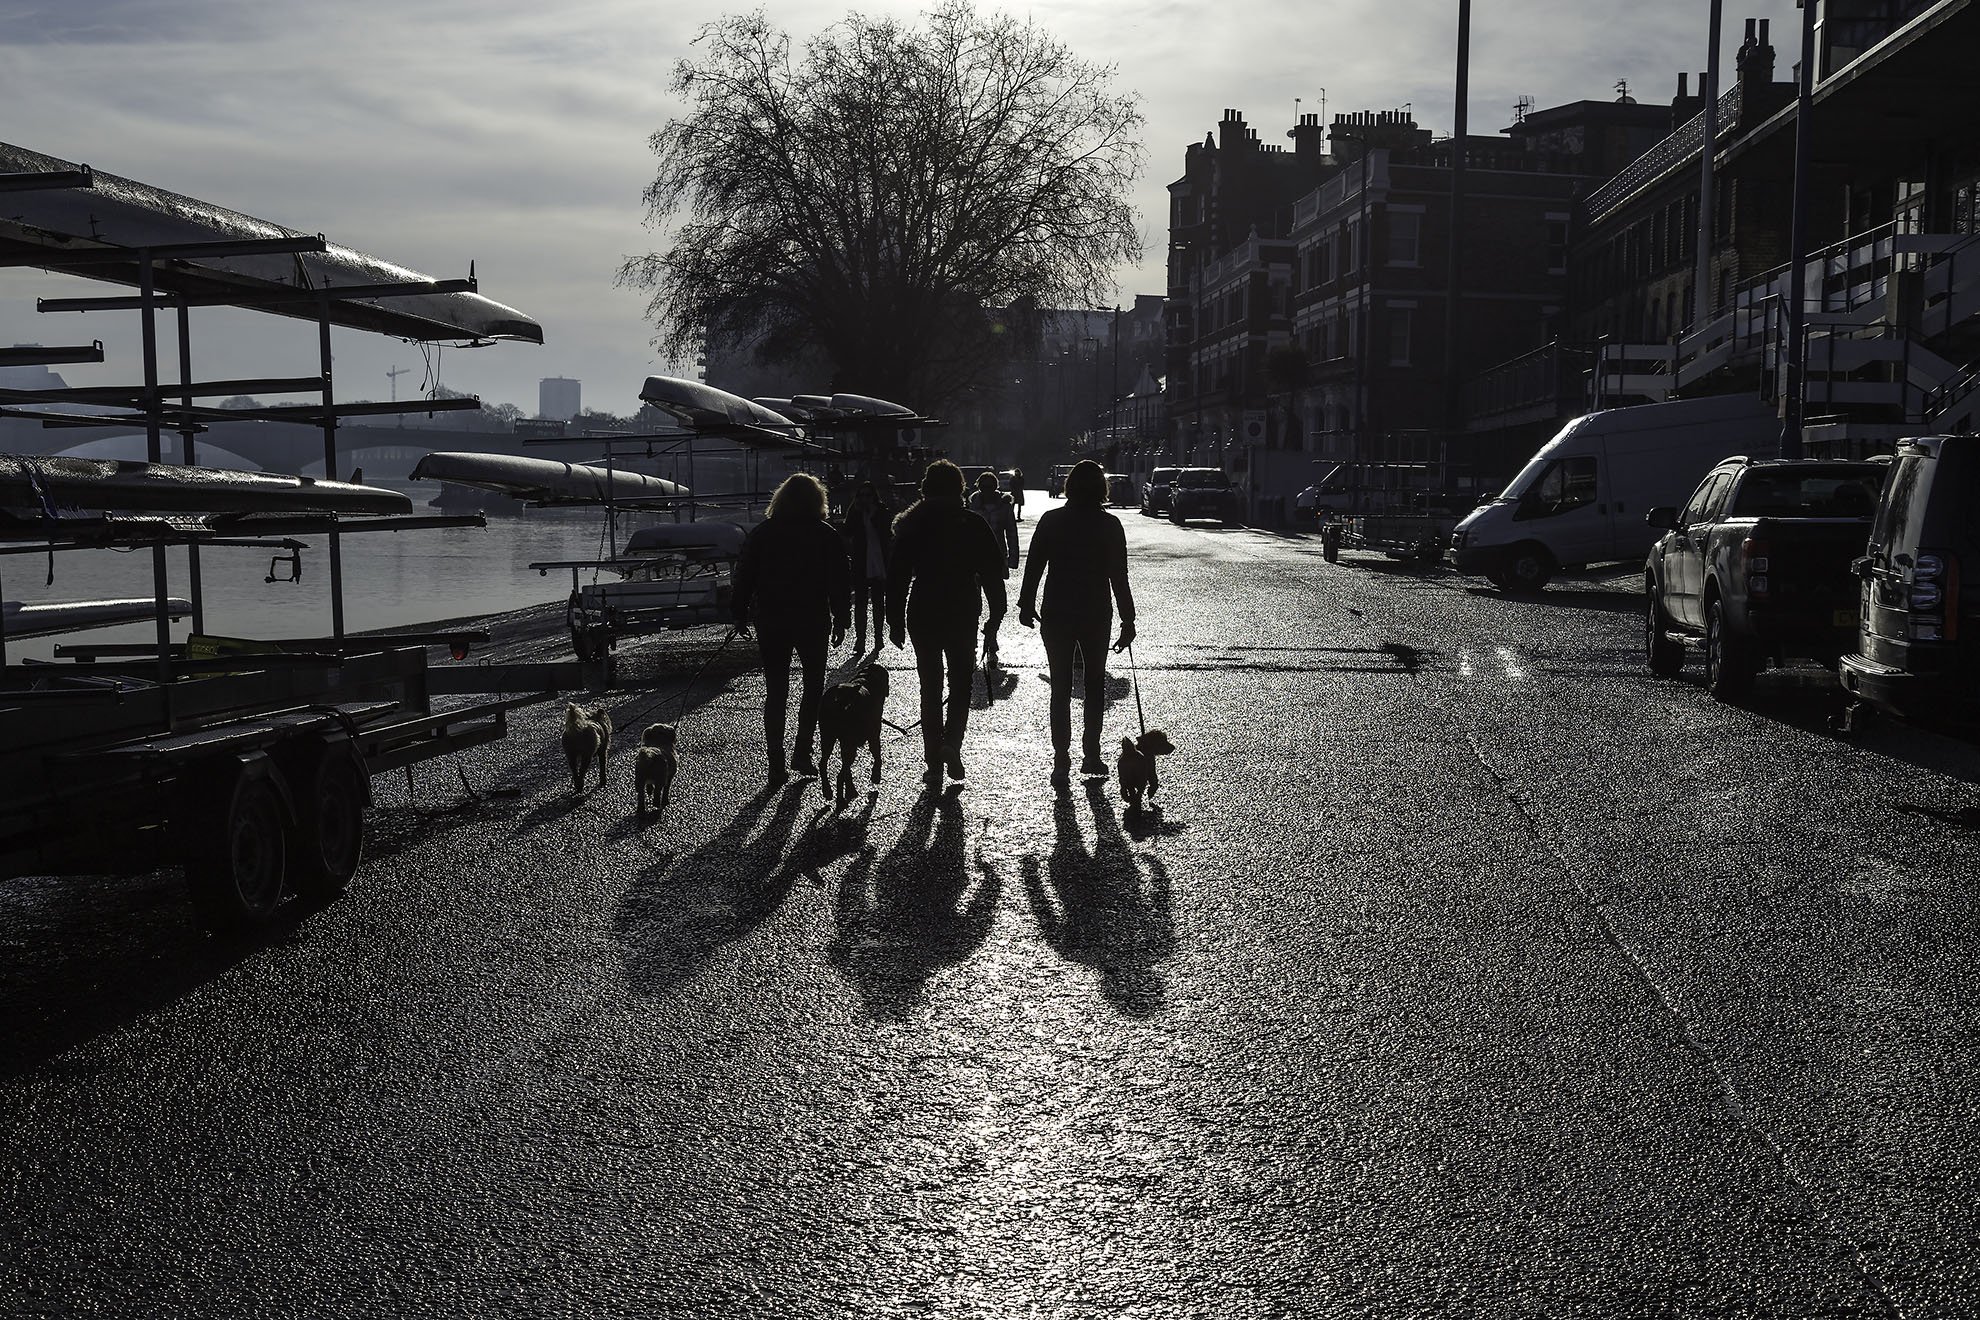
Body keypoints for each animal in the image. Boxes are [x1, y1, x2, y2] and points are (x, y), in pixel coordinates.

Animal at [815, 664, 887, 811]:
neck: (866, 679)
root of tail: (838, 700)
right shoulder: (873, 735)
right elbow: (877, 755)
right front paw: (876, 775)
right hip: (849, 743)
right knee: (840, 774)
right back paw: (841, 800)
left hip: (828, 738)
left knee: (824, 764)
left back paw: (828, 791)